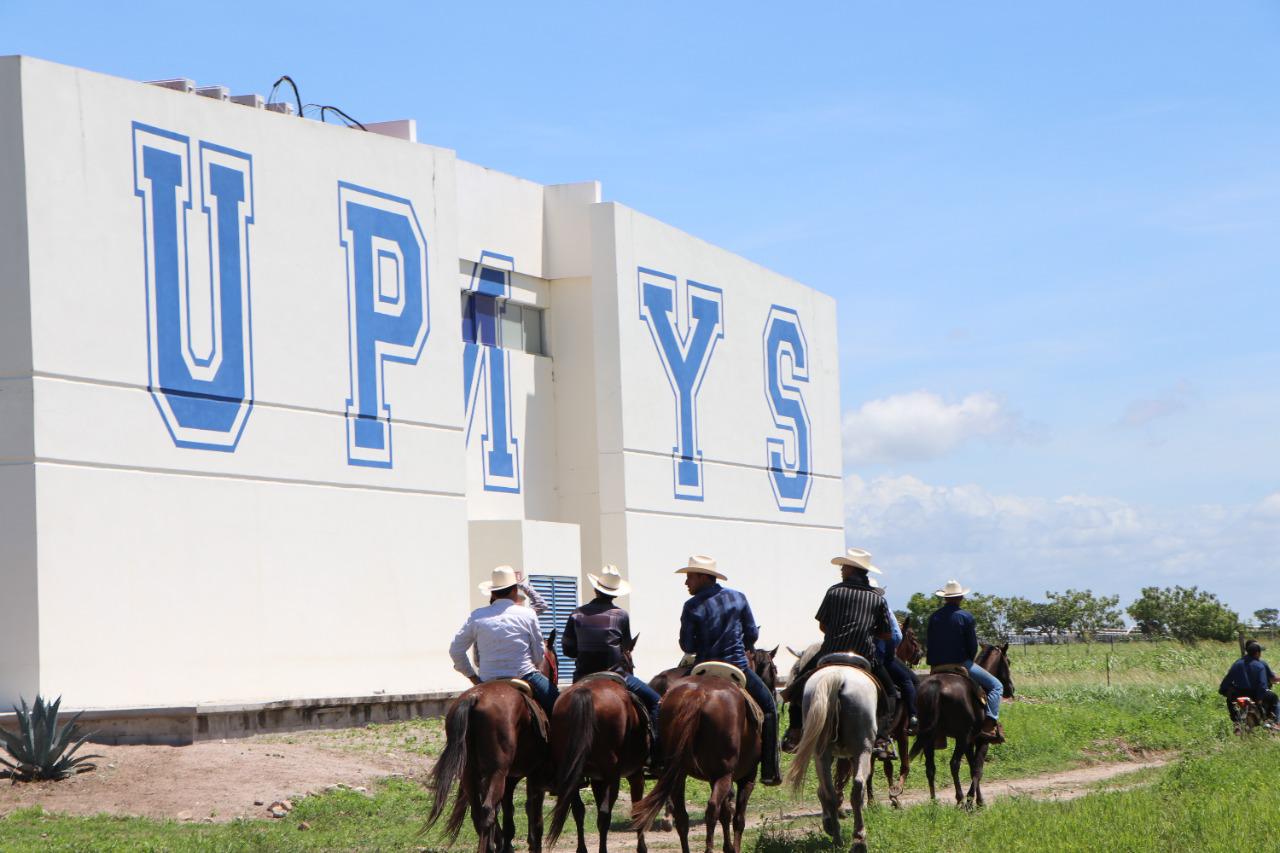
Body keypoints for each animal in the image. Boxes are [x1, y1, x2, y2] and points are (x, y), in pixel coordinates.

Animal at [427, 627, 558, 850]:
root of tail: (475, 698)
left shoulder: (512, 778)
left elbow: (508, 812)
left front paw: (507, 844)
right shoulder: (533, 774)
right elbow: (533, 813)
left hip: (470, 773)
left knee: (478, 812)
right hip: (497, 772)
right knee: (487, 810)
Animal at [547, 635, 650, 845]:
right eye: (632, 664)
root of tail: (584, 693)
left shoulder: (595, 777)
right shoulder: (635, 774)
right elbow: (637, 811)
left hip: (571, 771)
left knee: (578, 809)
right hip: (612, 774)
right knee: (604, 815)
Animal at [629, 676, 757, 850]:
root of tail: (698, 694)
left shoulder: (713, 778)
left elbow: (726, 814)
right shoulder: (746, 779)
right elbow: (737, 818)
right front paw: (732, 848)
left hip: (679, 774)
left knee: (683, 817)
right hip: (723, 775)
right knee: (712, 809)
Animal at [778, 666, 880, 850]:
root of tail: (837, 677)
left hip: (823, 753)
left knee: (832, 792)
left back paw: (842, 838)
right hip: (862, 750)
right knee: (854, 786)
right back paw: (855, 836)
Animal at [911, 645, 1008, 804]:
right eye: (1008, 662)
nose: (1011, 689)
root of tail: (936, 685)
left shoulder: (969, 742)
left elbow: (972, 767)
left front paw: (975, 799)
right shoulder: (981, 741)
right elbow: (977, 769)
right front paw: (974, 800)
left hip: (930, 737)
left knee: (930, 767)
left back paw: (934, 801)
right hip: (961, 737)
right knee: (954, 764)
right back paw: (960, 800)